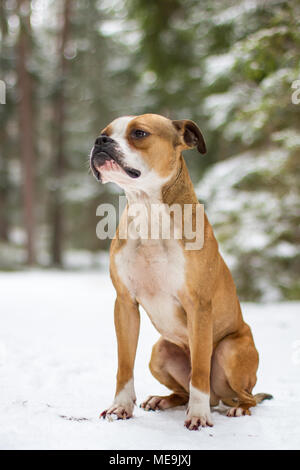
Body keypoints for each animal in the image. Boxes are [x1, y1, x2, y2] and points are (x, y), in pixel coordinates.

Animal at [89, 113, 272, 430]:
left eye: (139, 133)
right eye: (105, 132)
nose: (100, 141)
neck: (149, 212)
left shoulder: (198, 306)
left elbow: (198, 369)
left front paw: (198, 415)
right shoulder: (125, 304)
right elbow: (124, 364)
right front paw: (121, 406)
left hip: (230, 351)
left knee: (245, 396)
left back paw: (236, 409)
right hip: (159, 352)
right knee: (183, 390)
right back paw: (162, 400)